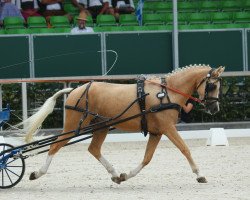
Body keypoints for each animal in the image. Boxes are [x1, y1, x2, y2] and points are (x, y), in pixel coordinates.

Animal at [19, 64, 225, 184]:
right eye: (213, 85)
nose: (214, 108)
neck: (166, 93)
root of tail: (75, 90)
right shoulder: (168, 128)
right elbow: (185, 149)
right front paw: (199, 174)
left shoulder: (157, 132)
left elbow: (147, 158)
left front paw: (127, 175)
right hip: (72, 126)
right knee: (55, 146)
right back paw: (37, 173)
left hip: (100, 127)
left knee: (94, 149)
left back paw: (115, 174)